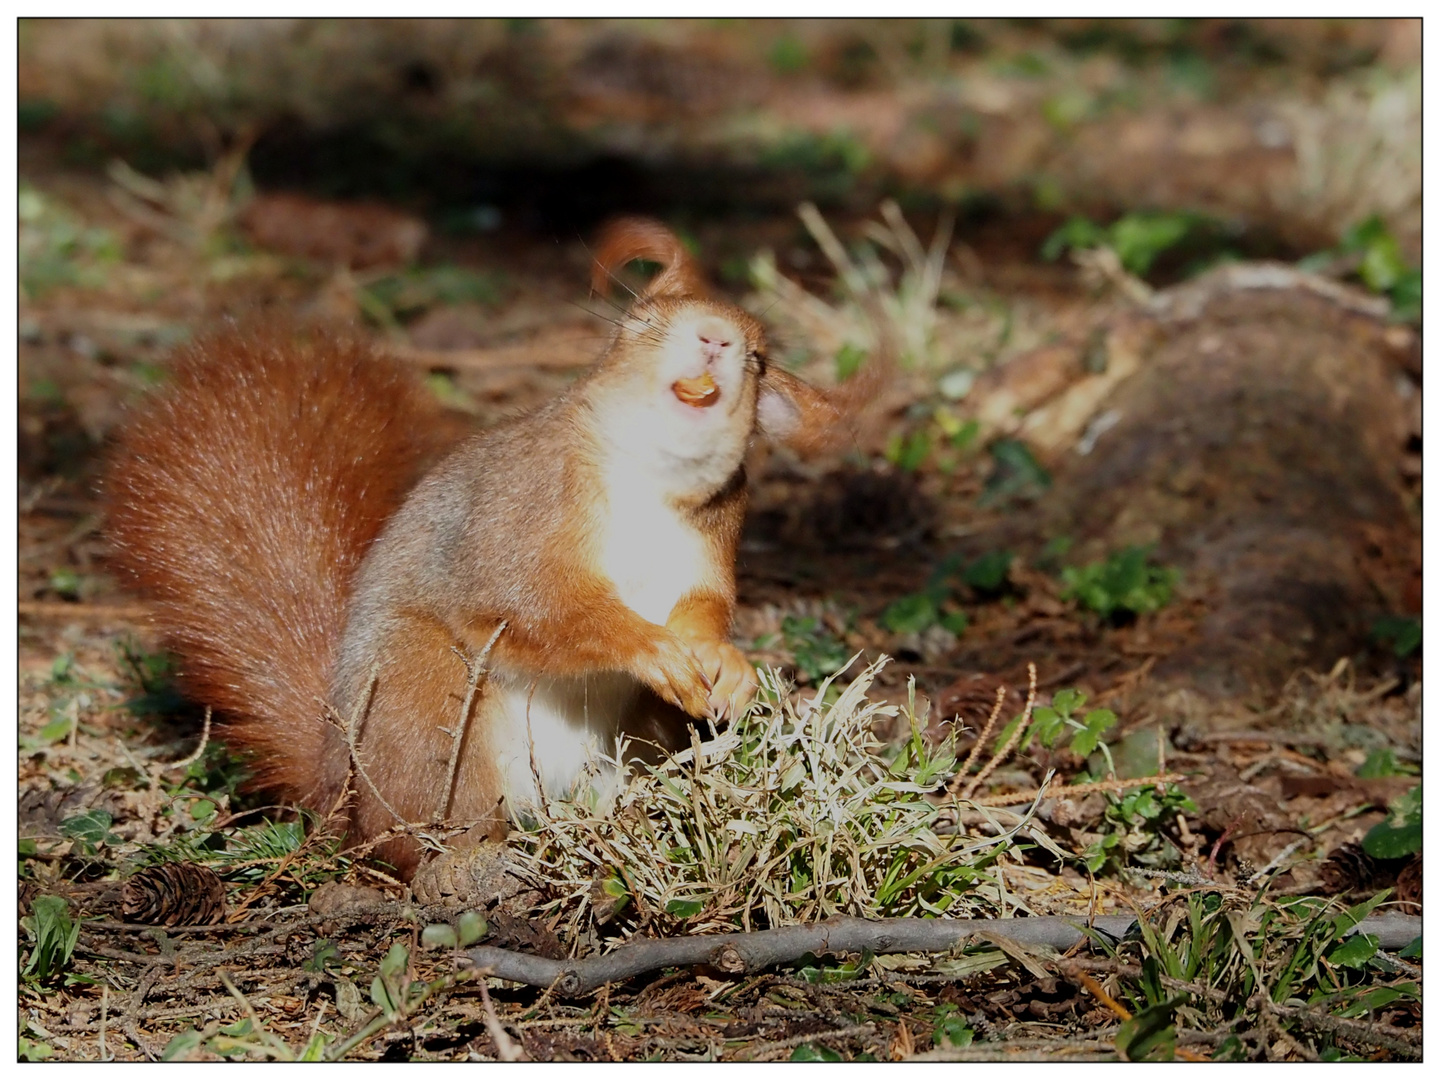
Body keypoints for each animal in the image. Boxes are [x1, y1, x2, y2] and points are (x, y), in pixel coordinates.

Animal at [106, 217, 840, 881]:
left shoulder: (709, 538)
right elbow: (540, 606)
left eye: (760, 357)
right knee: (419, 832)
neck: (651, 478)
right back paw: (468, 863)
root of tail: (336, 786)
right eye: (639, 324)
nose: (716, 338)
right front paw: (653, 649)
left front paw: (726, 663)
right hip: (420, 698)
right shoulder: (518, 507)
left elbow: (705, 603)